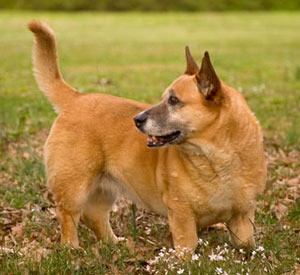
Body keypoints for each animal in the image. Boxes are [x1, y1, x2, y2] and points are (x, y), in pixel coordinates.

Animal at [28, 20, 268, 252]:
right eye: (164, 98)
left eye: (173, 100)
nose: (137, 119)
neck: (218, 159)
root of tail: (77, 98)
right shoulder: (181, 213)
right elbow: (187, 246)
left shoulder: (243, 217)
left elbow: (246, 246)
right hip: (74, 187)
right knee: (68, 216)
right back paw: (71, 249)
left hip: (103, 189)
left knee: (95, 215)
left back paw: (114, 243)